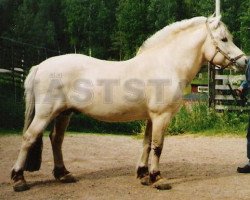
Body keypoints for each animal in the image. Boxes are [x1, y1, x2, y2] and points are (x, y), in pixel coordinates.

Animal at [10, 14, 247, 191]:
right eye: (224, 39)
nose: (245, 61)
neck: (166, 65)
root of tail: (40, 66)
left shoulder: (151, 117)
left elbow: (146, 144)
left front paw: (143, 175)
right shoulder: (161, 116)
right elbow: (158, 146)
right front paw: (158, 178)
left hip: (64, 113)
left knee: (56, 139)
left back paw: (63, 174)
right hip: (46, 113)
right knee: (29, 137)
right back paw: (19, 179)